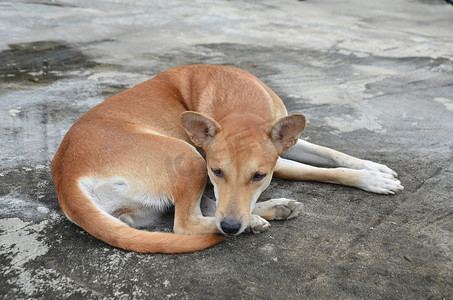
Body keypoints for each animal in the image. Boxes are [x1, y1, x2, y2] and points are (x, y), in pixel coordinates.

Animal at [52, 65, 402, 253]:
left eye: (258, 176)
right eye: (217, 171)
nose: (232, 227)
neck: (242, 106)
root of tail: (65, 176)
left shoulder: (287, 141)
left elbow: (332, 154)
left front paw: (374, 168)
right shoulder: (274, 162)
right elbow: (321, 171)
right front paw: (371, 180)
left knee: (208, 210)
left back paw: (265, 213)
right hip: (188, 157)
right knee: (187, 224)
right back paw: (252, 222)